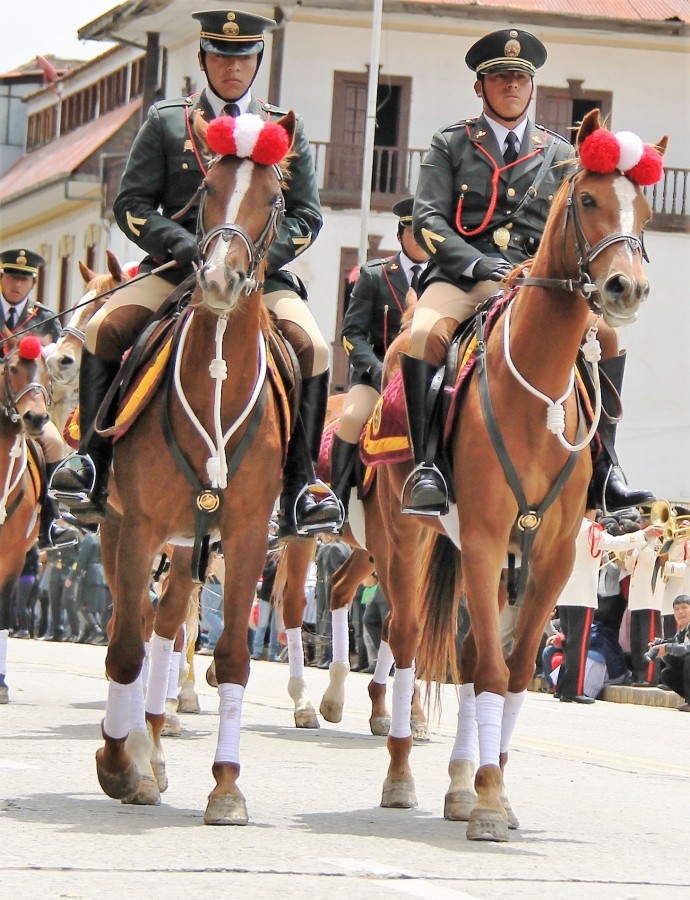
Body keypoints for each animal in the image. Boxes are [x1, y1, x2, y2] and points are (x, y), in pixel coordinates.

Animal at [92, 112, 292, 824]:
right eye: (206, 188)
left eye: (276, 195)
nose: (217, 281)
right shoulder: (140, 528)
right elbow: (124, 647)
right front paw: (117, 764)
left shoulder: (245, 536)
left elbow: (230, 655)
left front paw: (226, 786)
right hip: (124, 530)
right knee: (134, 630)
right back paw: (133, 751)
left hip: (188, 548)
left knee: (166, 627)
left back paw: (151, 747)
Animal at [336, 110, 664, 836]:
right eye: (588, 200)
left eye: (649, 209)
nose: (626, 289)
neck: (538, 390)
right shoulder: (486, 542)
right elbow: (487, 671)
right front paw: (487, 802)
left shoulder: (552, 556)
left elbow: (511, 676)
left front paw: (492, 793)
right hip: (404, 543)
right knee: (405, 643)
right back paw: (401, 773)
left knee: (455, 655)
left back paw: (458, 781)